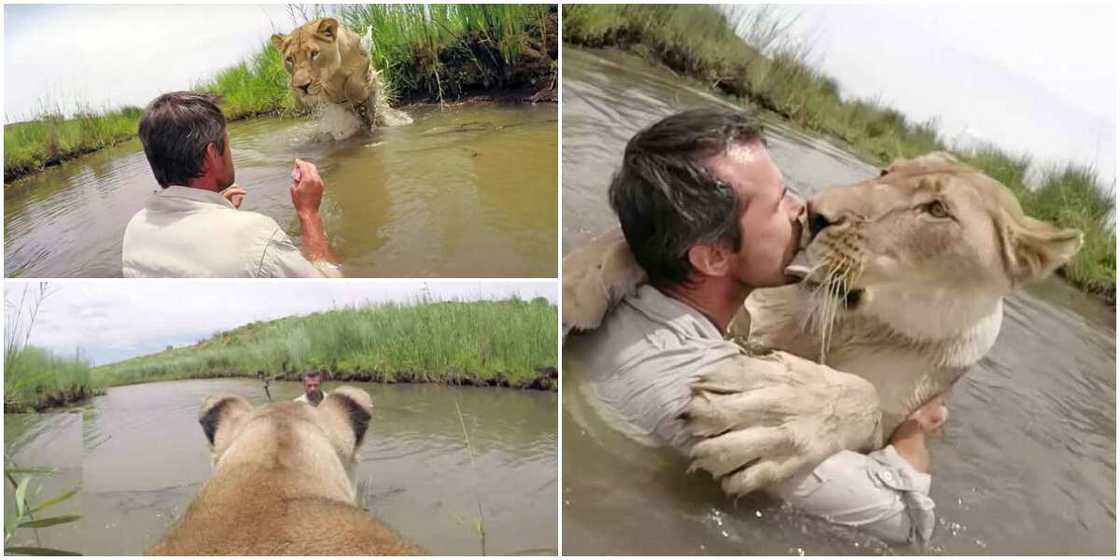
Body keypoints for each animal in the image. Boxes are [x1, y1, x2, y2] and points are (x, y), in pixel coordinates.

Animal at [271, 18, 412, 132]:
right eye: (289, 59)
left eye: (315, 53)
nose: (302, 87)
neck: (334, 74)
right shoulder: (326, 91)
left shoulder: (364, 58)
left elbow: (354, 83)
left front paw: (361, 99)